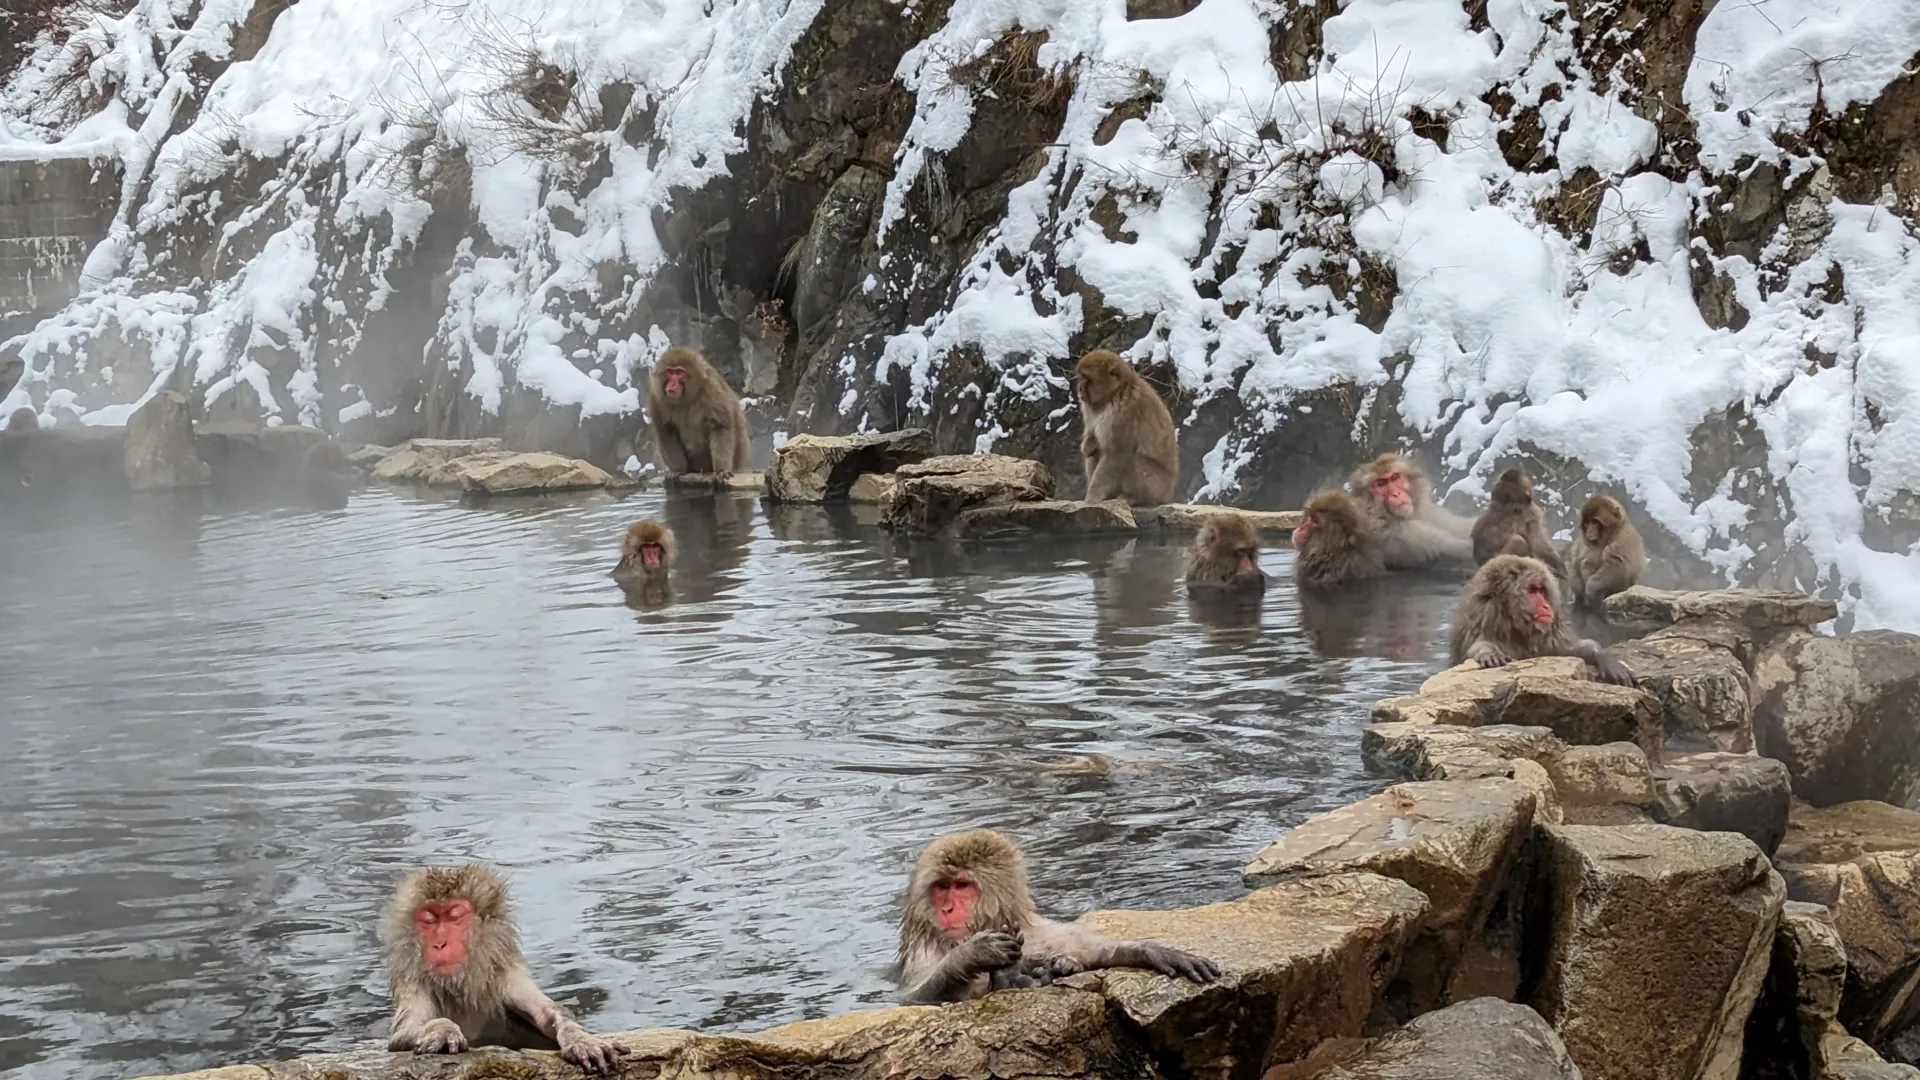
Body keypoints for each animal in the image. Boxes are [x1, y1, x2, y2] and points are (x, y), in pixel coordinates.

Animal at [380, 864, 627, 1074]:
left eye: (455, 916)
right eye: (429, 920)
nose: (439, 944)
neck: (461, 986)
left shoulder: (504, 975)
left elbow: (548, 1013)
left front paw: (580, 1039)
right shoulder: (413, 981)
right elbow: (403, 1032)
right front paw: (441, 1030)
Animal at [646, 346, 751, 487]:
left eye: (679, 372)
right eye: (670, 372)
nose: (672, 385)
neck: (686, 398)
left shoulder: (712, 388)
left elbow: (719, 426)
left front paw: (721, 471)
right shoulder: (656, 396)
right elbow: (666, 430)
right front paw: (677, 470)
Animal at [894, 828, 1220, 1004]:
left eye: (961, 886)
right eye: (941, 887)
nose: (946, 909)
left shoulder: (1039, 931)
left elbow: (1092, 950)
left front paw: (1152, 952)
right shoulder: (924, 949)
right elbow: (913, 997)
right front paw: (973, 953)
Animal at [1075, 350, 1178, 506]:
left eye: (1087, 378)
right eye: (1081, 377)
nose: (1079, 389)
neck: (1113, 394)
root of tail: (1168, 495)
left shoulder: (1124, 413)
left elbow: (1117, 454)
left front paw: (1091, 498)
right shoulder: (1089, 408)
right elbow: (1092, 437)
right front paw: (1087, 444)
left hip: (1157, 485)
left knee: (1134, 459)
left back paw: (1134, 497)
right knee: (1095, 453)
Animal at [1448, 554, 1633, 685]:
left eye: (1541, 590)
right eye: (1532, 590)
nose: (1546, 606)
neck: (1514, 627)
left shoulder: (1546, 638)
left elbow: (1565, 650)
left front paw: (1601, 655)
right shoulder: (1483, 624)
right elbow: (1474, 647)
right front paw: (1486, 651)